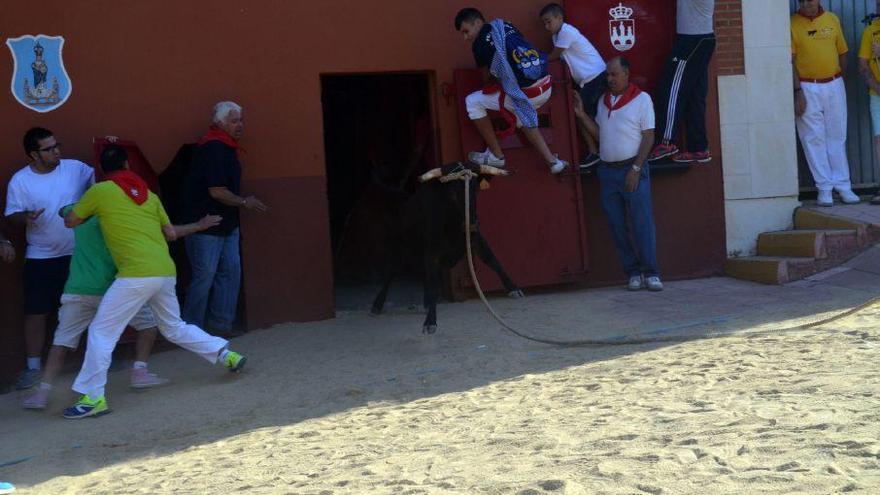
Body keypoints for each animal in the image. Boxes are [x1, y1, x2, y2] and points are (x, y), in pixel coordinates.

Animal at [372, 162, 524, 334]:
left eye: (475, 189)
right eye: (451, 193)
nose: (472, 224)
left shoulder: (476, 238)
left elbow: (493, 261)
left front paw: (513, 288)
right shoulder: (433, 252)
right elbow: (433, 286)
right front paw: (430, 322)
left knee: (423, 275)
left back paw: (425, 302)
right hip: (400, 248)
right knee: (390, 273)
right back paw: (377, 305)